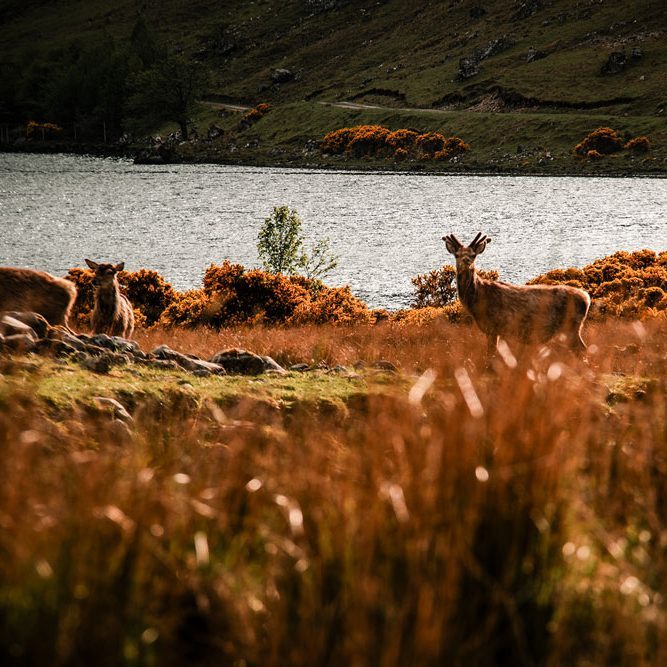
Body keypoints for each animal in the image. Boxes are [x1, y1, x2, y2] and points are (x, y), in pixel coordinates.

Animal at [443, 232, 591, 358]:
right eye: (457, 255)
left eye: (473, 255)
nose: (466, 260)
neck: (477, 301)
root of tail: (586, 298)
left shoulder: (493, 326)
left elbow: (490, 356)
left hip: (570, 327)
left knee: (583, 350)